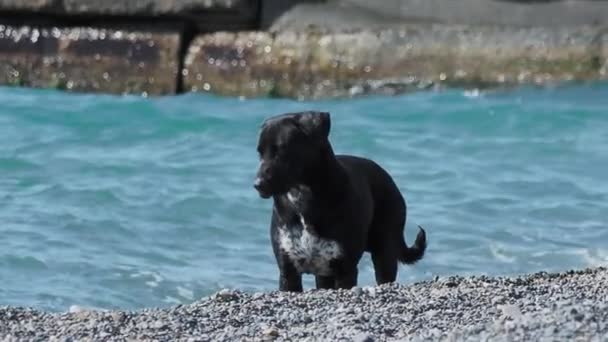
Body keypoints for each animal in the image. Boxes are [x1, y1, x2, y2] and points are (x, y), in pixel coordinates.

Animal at [254, 111, 426, 292]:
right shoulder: (288, 271)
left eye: (282, 149)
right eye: (259, 152)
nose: (258, 184)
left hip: (384, 250)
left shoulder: (346, 269)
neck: (302, 199)